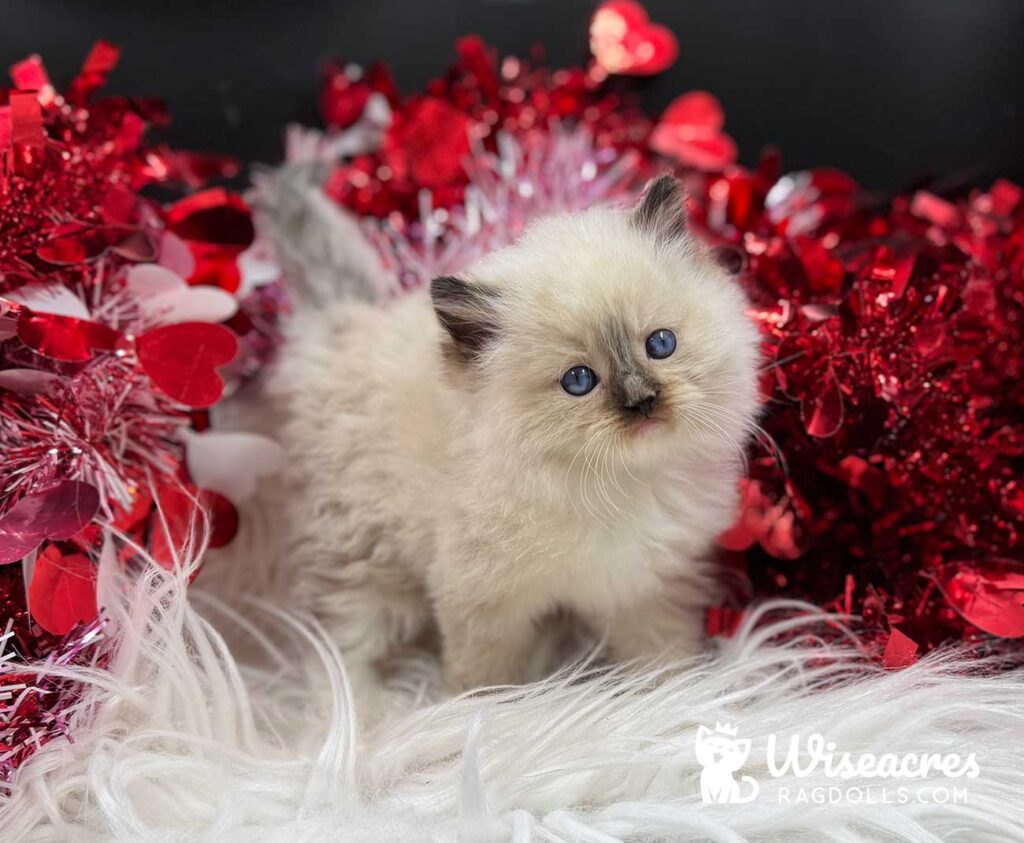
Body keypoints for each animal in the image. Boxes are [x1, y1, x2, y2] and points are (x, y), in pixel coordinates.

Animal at [270, 173, 761, 692]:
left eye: (661, 344)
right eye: (578, 381)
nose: (642, 401)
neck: (613, 484)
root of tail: (350, 321)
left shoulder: (644, 588)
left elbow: (663, 661)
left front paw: (679, 697)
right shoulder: (483, 605)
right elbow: (486, 680)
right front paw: (491, 709)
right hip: (365, 560)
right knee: (338, 652)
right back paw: (365, 710)